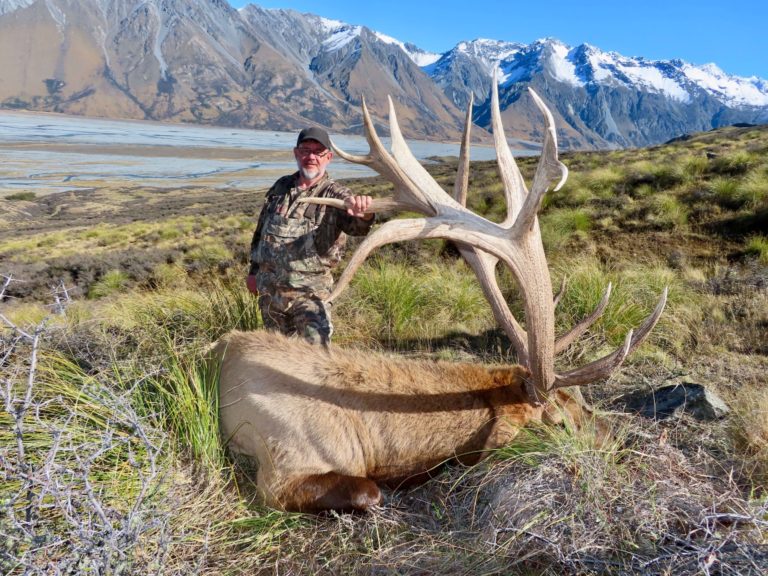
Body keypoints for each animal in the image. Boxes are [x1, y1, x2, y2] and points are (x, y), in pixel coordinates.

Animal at [215, 72, 667, 513]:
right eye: (560, 420)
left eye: (580, 398)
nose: (616, 437)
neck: (364, 435)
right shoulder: (280, 472)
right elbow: (370, 491)